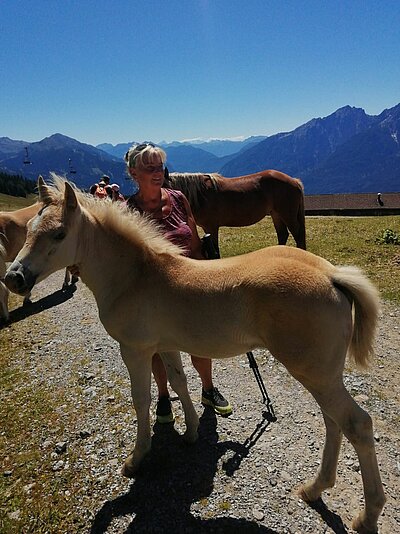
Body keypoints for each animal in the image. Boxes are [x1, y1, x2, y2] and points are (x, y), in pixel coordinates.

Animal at [166, 171, 306, 256]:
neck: (201, 195)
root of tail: (294, 181)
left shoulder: (211, 227)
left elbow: (216, 250)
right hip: (276, 215)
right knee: (283, 234)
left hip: (287, 215)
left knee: (298, 235)